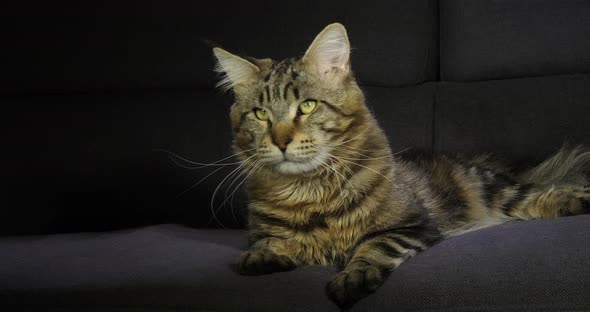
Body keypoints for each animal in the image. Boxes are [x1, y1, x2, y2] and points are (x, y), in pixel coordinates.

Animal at [212, 23, 590, 308]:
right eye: (261, 114)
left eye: (306, 106)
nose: (281, 142)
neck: (310, 191)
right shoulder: (262, 232)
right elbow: (268, 243)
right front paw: (264, 256)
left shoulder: (411, 226)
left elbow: (372, 248)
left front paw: (352, 278)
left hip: (496, 189)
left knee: (541, 194)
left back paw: (577, 200)